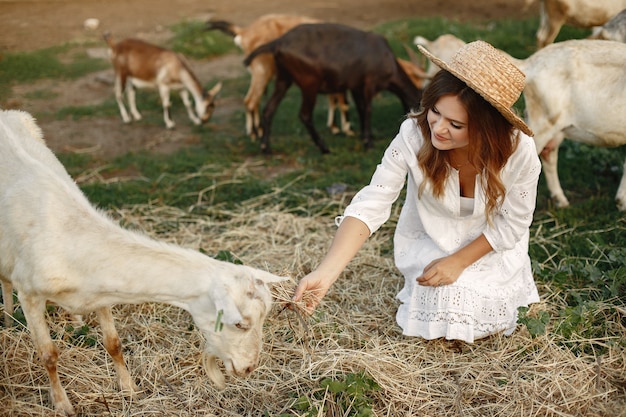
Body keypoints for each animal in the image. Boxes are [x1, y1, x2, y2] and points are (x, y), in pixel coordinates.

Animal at [0, 109, 288, 414]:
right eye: (240, 324)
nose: (249, 368)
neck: (71, 237)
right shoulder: (29, 293)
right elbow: (48, 355)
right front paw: (63, 405)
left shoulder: (100, 290)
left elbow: (113, 343)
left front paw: (129, 389)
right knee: (5, 280)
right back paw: (7, 318)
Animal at [241, 22, 422, 154]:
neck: (387, 60)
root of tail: (279, 42)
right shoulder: (368, 84)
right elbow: (368, 109)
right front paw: (368, 142)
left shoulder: (356, 87)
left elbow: (361, 109)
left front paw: (365, 136)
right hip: (309, 84)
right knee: (305, 115)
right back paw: (323, 147)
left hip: (283, 79)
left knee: (269, 109)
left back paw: (265, 147)